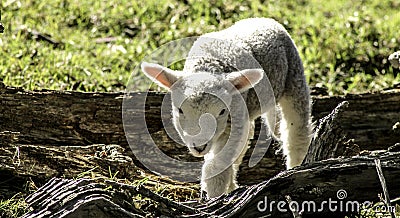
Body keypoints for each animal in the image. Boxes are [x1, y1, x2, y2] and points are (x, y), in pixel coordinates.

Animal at [141, 17, 312, 198]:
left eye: (222, 111)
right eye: (180, 110)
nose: (199, 147)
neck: (209, 65)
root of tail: (264, 19)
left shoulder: (233, 118)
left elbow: (216, 167)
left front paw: (215, 196)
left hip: (294, 76)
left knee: (296, 131)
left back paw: (296, 166)